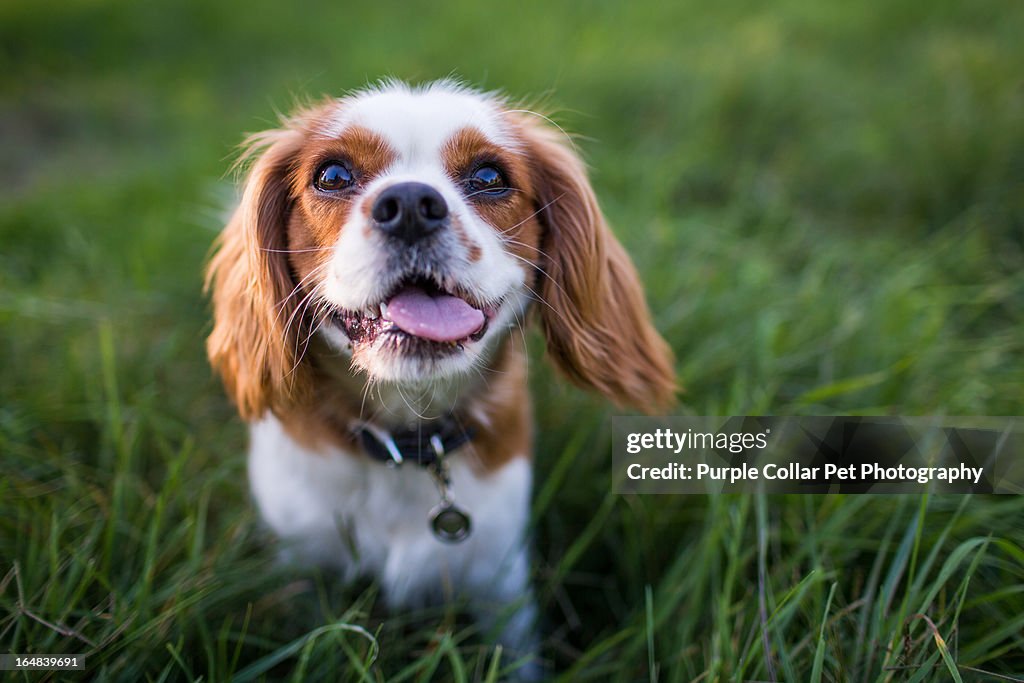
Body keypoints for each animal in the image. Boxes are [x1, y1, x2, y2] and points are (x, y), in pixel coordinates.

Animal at [203, 80, 675, 671]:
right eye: (332, 175)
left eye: (490, 177)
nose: (409, 204)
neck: (406, 441)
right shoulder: (304, 562)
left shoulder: (499, 574)